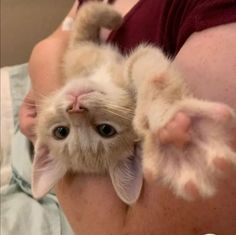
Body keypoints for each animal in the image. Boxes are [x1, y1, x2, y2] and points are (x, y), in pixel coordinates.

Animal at [31, 0, 236, 204]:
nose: (75, 107)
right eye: (106, 130)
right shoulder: (87, 47)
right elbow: (88, 16)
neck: (99, 75)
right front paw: (113, 17)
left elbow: (85, 18)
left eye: (60, 132)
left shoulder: (80, 55)